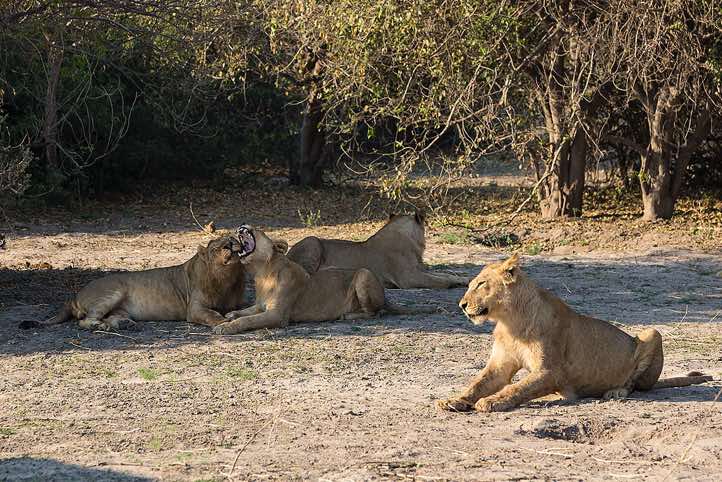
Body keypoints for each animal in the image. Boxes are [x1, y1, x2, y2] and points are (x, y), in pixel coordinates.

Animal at [21, 236, 246, 331]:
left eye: (232, 238)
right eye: (215, 248)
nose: (229, 244)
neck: (227, 278)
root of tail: (74, 296)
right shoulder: (194, 309)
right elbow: (211, 314)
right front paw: (223, 322)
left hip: (119, 307)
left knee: (112, 317)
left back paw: (126, 325)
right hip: (113, 291)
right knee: (84, 321)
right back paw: (101, 326)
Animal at [212, 226, 432, 335]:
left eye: (257, 230)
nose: (241, 225)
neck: (262, 272)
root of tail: (386, 296)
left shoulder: (278, 315)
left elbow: (247, 320)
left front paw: (225, 327)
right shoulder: (261, 306)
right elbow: (245, 312)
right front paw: (230, 315)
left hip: (364, 274)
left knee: (376, 312)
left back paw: (348, 316)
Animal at [286, 211, 471, 289]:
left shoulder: (419, 270)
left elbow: (445, 274)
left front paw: (465, 279)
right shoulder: (408, 278)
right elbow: (440, 281)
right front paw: (453, 284)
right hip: (312, 241)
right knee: (307, 274)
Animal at [436, 254, 712, 412]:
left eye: (481, 284)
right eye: (470, 285)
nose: (461, 305)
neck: (510, 321)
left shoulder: (550, 371)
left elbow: (517, 388)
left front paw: (491, 402)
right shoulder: (500, 366)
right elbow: (478, 383)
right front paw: (454, 400)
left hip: (652, 332)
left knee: (636, 385)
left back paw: (616, 392)